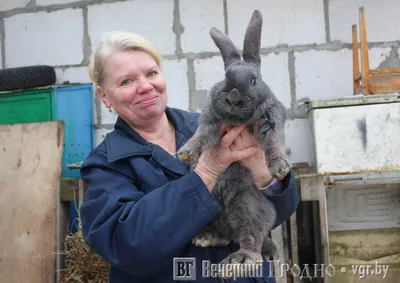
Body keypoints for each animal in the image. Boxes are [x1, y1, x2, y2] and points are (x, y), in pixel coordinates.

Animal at [177, 10, 290, 276]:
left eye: (254, 80)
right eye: (225, 77)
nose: (233, 98)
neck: (240, 120)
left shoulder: (271, 119)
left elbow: (273, 143)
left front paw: (279, 167)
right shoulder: (211, 121)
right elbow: (201, 135)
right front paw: (186, 153)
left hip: (246, 205)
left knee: (251, 238)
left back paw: (241, 260)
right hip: (210, 205)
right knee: (223, 233)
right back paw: (206, 238)